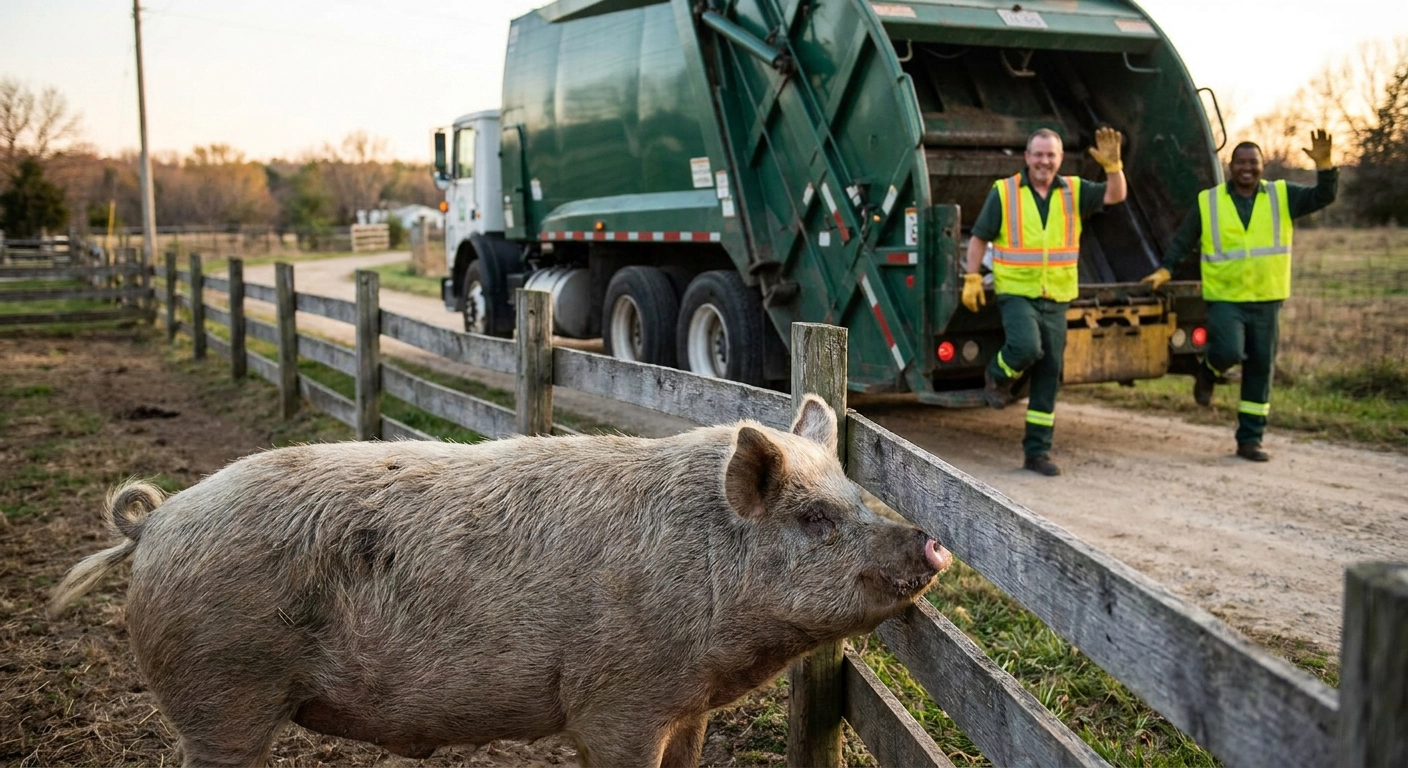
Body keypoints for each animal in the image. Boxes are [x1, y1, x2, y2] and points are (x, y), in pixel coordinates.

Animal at [51, 395, 950, 767]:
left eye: (854, 491)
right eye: (812, 519)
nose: (935, 546)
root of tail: (154, 523)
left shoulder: (687, 706)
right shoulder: (615, 700)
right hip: (222, 691)